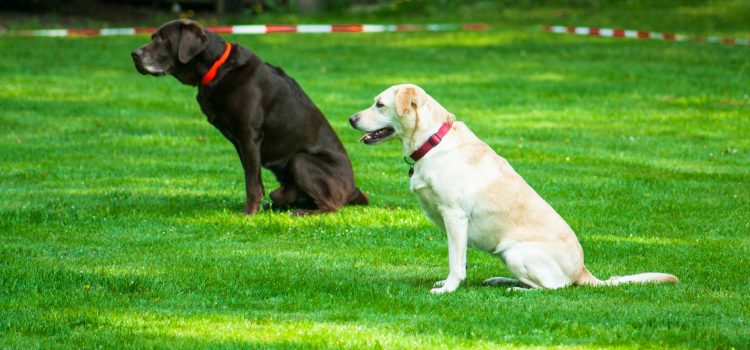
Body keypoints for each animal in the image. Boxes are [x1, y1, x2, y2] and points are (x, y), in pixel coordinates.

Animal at [137, 20, 372, 215]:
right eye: (153, 36)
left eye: (163, 39)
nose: (134, 54)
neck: (217, 67)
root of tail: (354, 190)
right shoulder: (241, 143)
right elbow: (255, 180)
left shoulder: (249, 136)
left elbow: (251, 183)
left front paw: (248, 214)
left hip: (301, 161)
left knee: (332, 206)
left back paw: (304, 212)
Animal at [350, 84, 680, 292]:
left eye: (379, 104)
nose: (351, 118)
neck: (433, 141)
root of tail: (584, 272)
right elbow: (459, 260)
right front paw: (448, 284)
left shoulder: (455, 217)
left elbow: (456, 263)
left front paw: (448, 289)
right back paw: (500, 281)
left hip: (516, 253)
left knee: (555, 288)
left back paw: (516, 291)